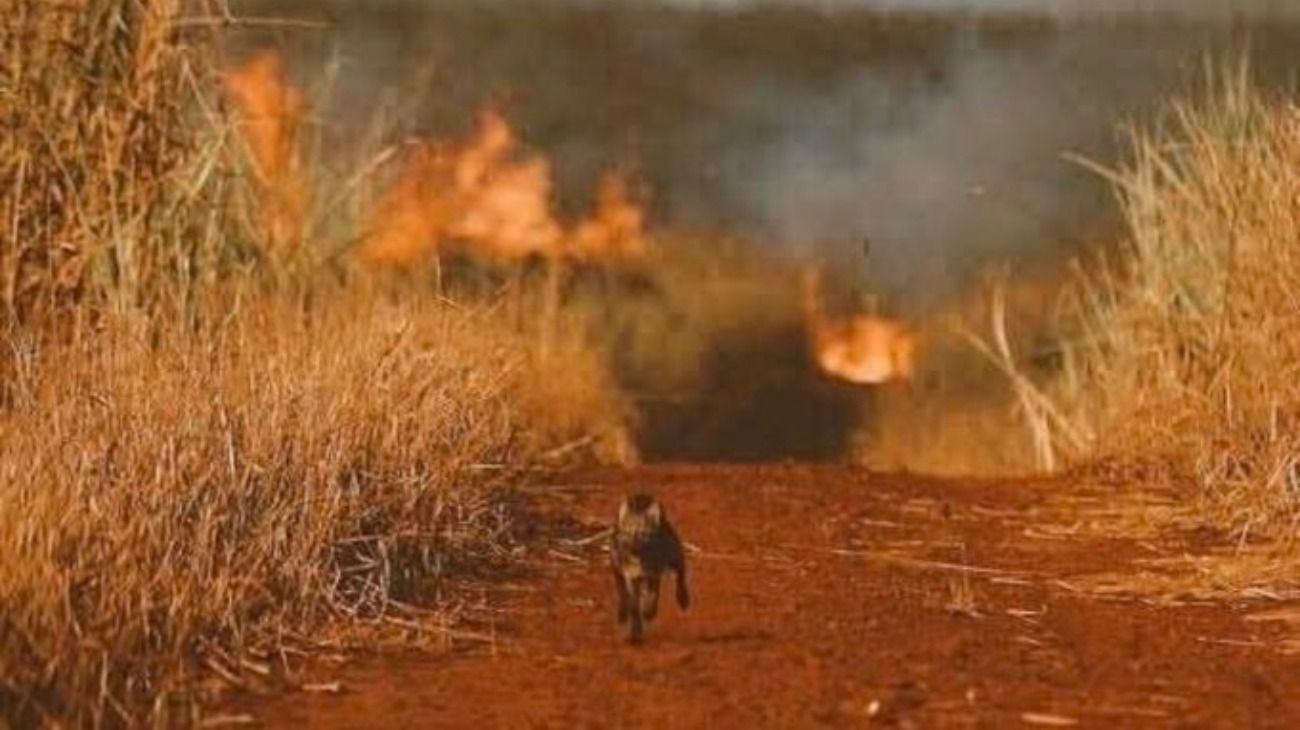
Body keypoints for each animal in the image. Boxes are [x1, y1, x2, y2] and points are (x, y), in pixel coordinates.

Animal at [608, 490, 691, 639]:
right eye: (627, 533)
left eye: (642, 534)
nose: (631, 549)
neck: (641, 559)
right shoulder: (631, 578)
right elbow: (634, 605)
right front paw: (635, 631)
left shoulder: (654, 573)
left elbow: (653, 595)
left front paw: (648, 612)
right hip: (617, 567)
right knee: (621, 592)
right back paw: (622, 614)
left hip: (674, 555)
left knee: (680, 574)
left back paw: (683, 599)